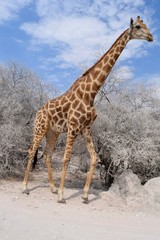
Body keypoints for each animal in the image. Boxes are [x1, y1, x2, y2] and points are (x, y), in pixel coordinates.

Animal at [22, 15, 152, 202]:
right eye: (138, 27)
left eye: (146, 25)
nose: (151, 37)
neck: (91, 93)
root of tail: (38, 111)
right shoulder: (73, 127)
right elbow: (66, 158)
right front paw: (62, 196)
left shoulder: (85, 128)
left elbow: (94, 157)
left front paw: (84, 195)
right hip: (39, 128)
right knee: (32, 150)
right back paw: (25, 187)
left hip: (53, 132)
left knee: (47, 154)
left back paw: (52, 188)